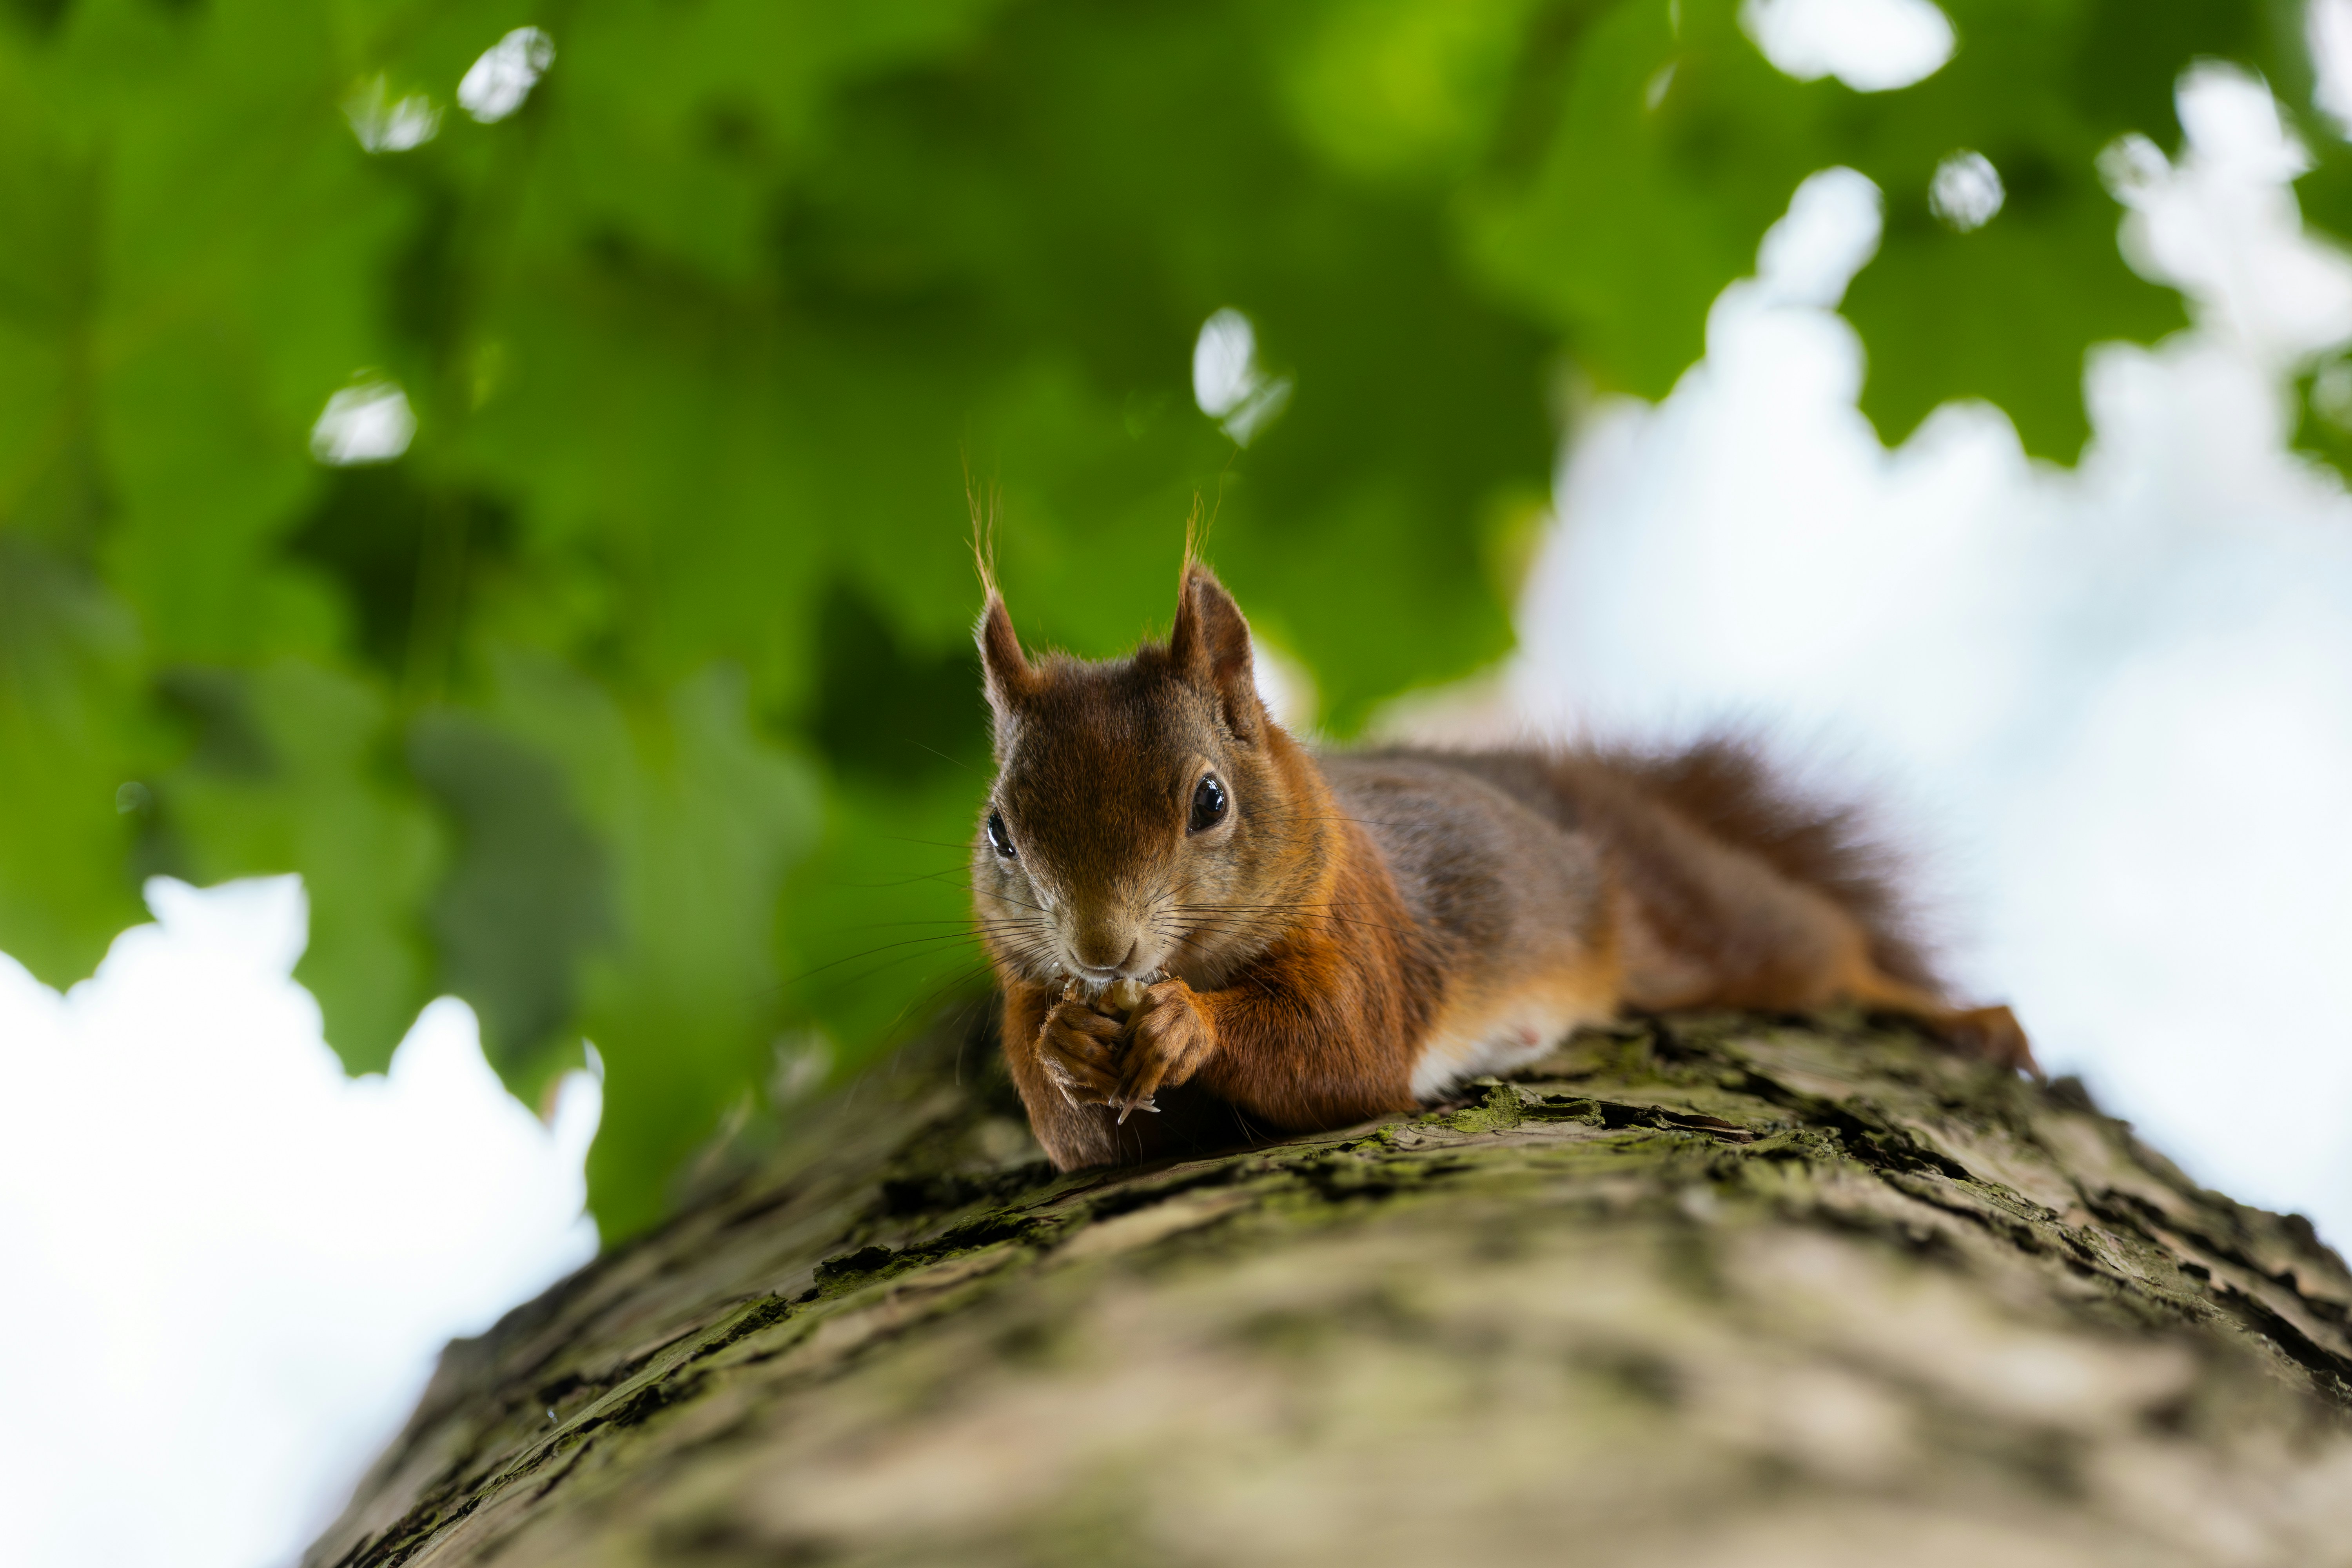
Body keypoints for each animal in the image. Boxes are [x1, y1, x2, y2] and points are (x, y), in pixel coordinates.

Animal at [972, 557, 2035, 1172]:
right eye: (999, 830)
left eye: (1210, 801)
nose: (1102, 950)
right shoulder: (1023, 999)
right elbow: (1085, 1140)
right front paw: (1071, 1045)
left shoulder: (1366, 928)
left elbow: (1344, 1049)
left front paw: (1187, 1023)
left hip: (1703, 921)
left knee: (1825, 951)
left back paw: (1964, 1016)